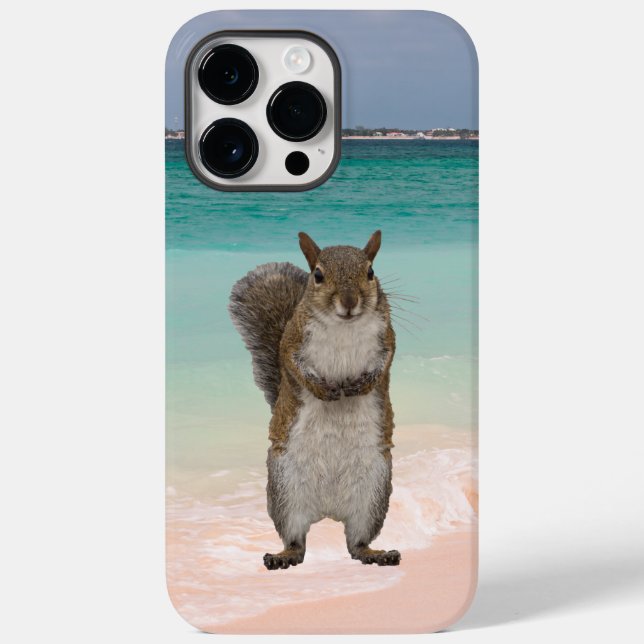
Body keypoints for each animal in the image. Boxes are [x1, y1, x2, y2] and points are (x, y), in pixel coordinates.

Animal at [229, 230, 400, 570]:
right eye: (318, 275)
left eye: (370, 272)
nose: (349, 302)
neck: (343, 326)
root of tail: (328, 511)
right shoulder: (292, 339)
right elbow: (291, 364)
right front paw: (323, 390)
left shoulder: (387, 336)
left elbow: (385, 360)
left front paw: (363, 384)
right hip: (286, 492)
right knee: (297, 541)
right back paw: (283, 557)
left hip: (373, 495)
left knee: (356, 543)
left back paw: (377, 554)